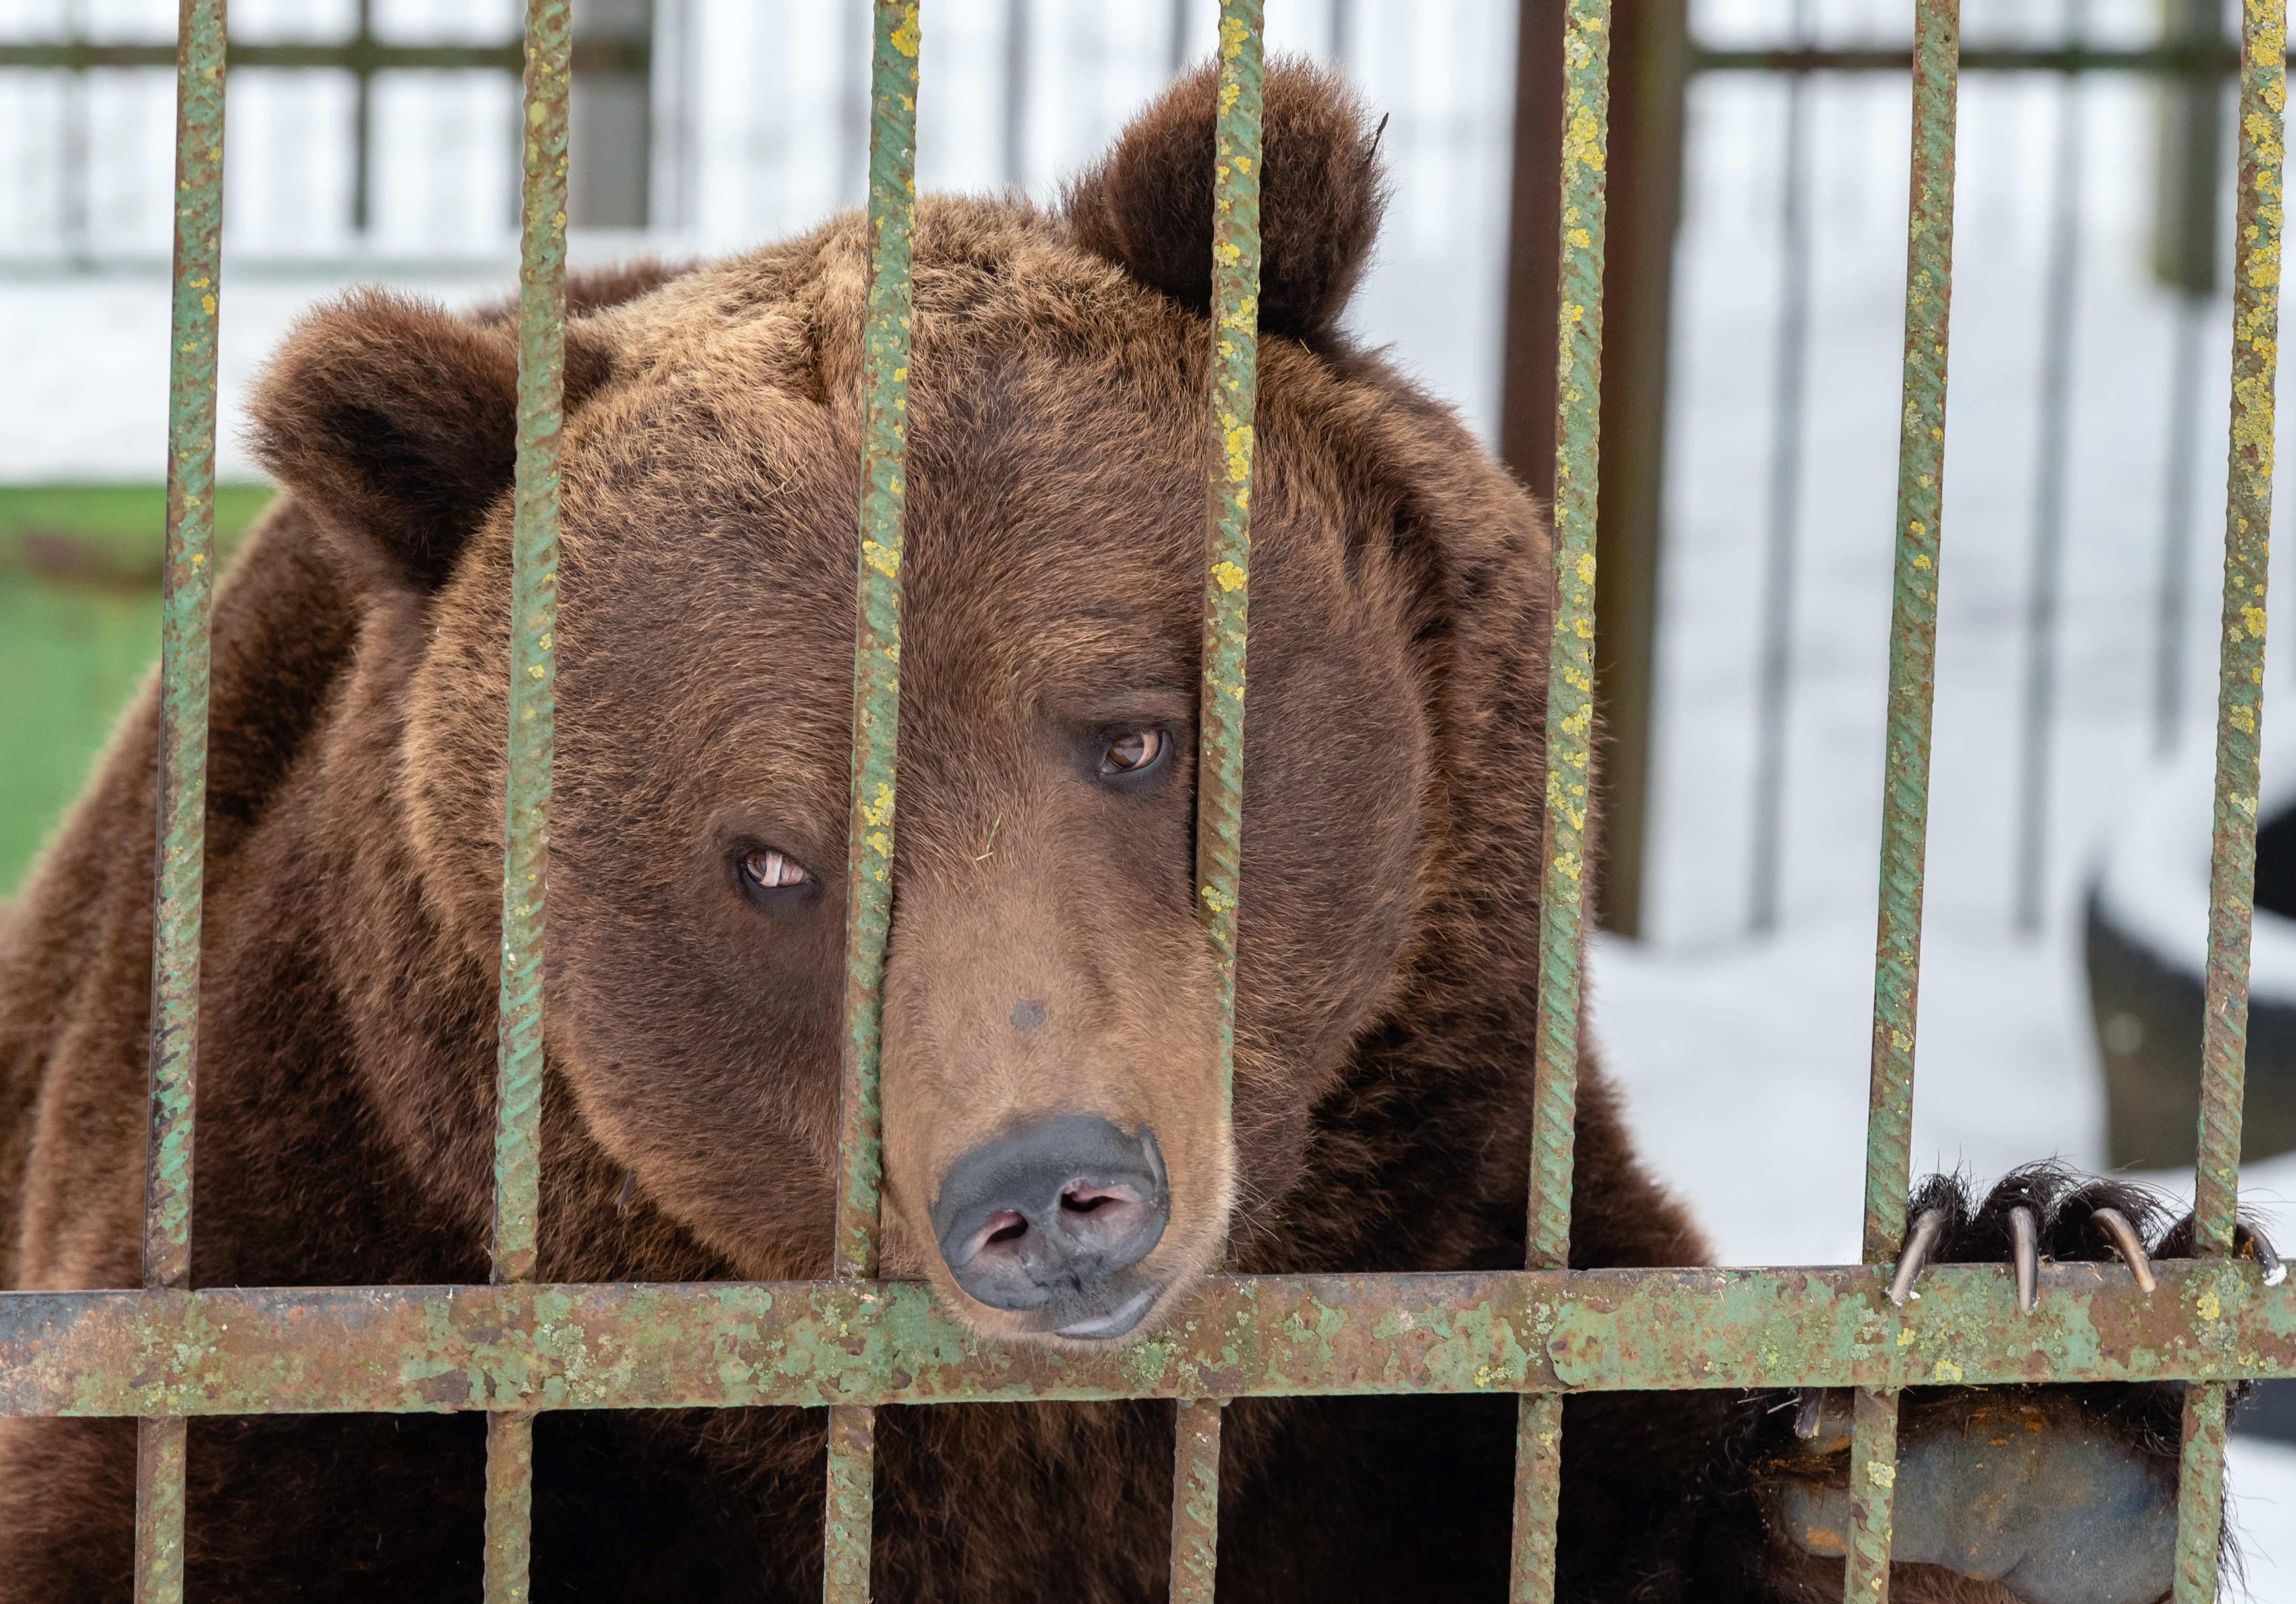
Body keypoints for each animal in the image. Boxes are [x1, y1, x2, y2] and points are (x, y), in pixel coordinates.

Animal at [0, 56, 2231, 1597]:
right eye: (767, 856)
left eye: (1134, 738)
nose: (1051, 1184)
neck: (1019, 1445)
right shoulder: (325, 1302)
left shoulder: (1452, 1279)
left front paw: (2017, 1365)